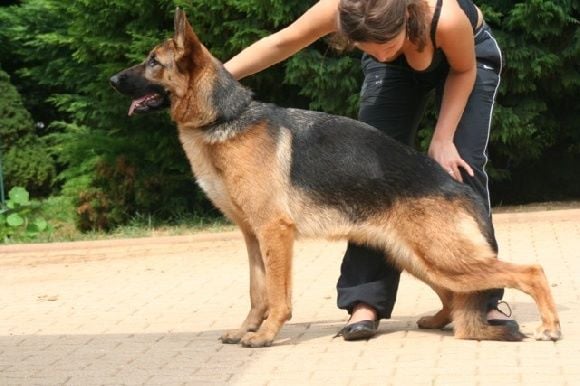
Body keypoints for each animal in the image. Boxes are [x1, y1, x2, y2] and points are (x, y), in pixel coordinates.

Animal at [110, 8, 560, 346]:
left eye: (153, 62)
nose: (112, 79)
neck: (224, 118)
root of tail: (460, 190)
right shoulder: (252, 236)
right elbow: (257, 292)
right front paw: (245, 330)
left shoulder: (275, 233)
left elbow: (277, 296)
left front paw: (266, 335)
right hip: (418, 259)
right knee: (454, 298)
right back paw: (436, 320)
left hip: (444, 258)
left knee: (531, 271)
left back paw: (550, 326)